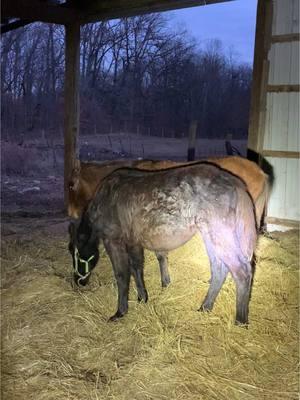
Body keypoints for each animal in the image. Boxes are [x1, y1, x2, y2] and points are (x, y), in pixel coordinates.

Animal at [68, 162, 258, 324]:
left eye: (74, 251)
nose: (78, 281)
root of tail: (236, 184)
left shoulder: (113, 240)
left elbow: (122, 274)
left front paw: (120, 312)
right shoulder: (133, 241)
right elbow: (136, 267)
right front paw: (142, 298)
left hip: (220, 235)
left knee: (242, 271)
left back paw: (240, 321)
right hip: (211, 237)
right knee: (219, 269)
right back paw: (204, 307)